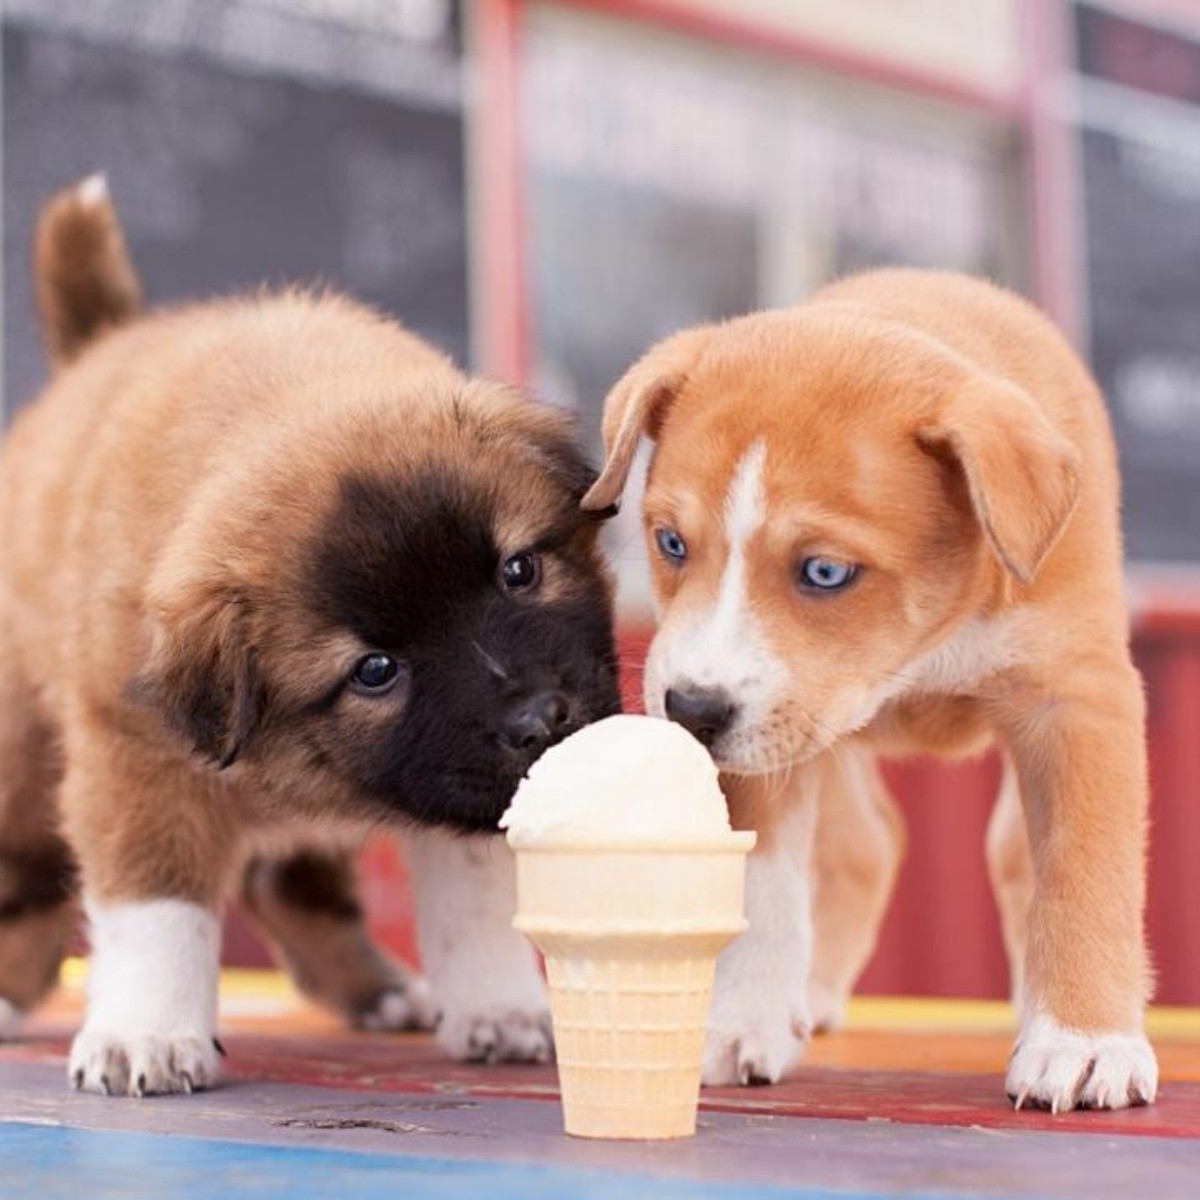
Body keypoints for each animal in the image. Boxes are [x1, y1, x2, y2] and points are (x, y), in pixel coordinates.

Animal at [0, 180, 619, 1099]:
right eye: (375, 671)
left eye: (518, 571)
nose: (542, 720)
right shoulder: (138, 762)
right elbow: (156, 905)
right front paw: (147, 1033)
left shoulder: (461, 783)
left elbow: (473, 897)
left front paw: (501, 1006)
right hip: (20, 750)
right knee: (31, 878)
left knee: (290, 885)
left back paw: (376, 988)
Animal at [585, 267, 1156, 1108]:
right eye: (671, 543)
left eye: (826, 571)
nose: (689, 711)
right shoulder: (765, 737)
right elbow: (761, 883)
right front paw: (740, 1022)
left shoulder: (1078, 702)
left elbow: (1082, 872)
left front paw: (1084, 1042)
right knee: (864, 847)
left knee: (1007, 855)